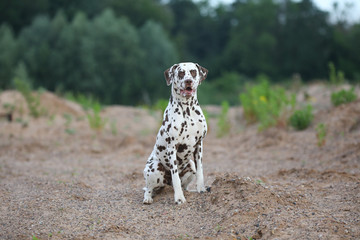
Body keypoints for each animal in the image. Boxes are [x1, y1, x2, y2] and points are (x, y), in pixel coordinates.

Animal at [143, 62, 208, 204]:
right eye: (181, 73)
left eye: (193, 72)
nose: (188, 81)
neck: (187, 112)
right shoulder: (172, 147)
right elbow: (175, 176)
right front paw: (179, 198)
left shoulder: (199, 145)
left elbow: (200, 171)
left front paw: (201, 189)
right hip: (154, 168)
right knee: (148, 188)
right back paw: (148, 198)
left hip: (190, 165)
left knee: (185, 185)